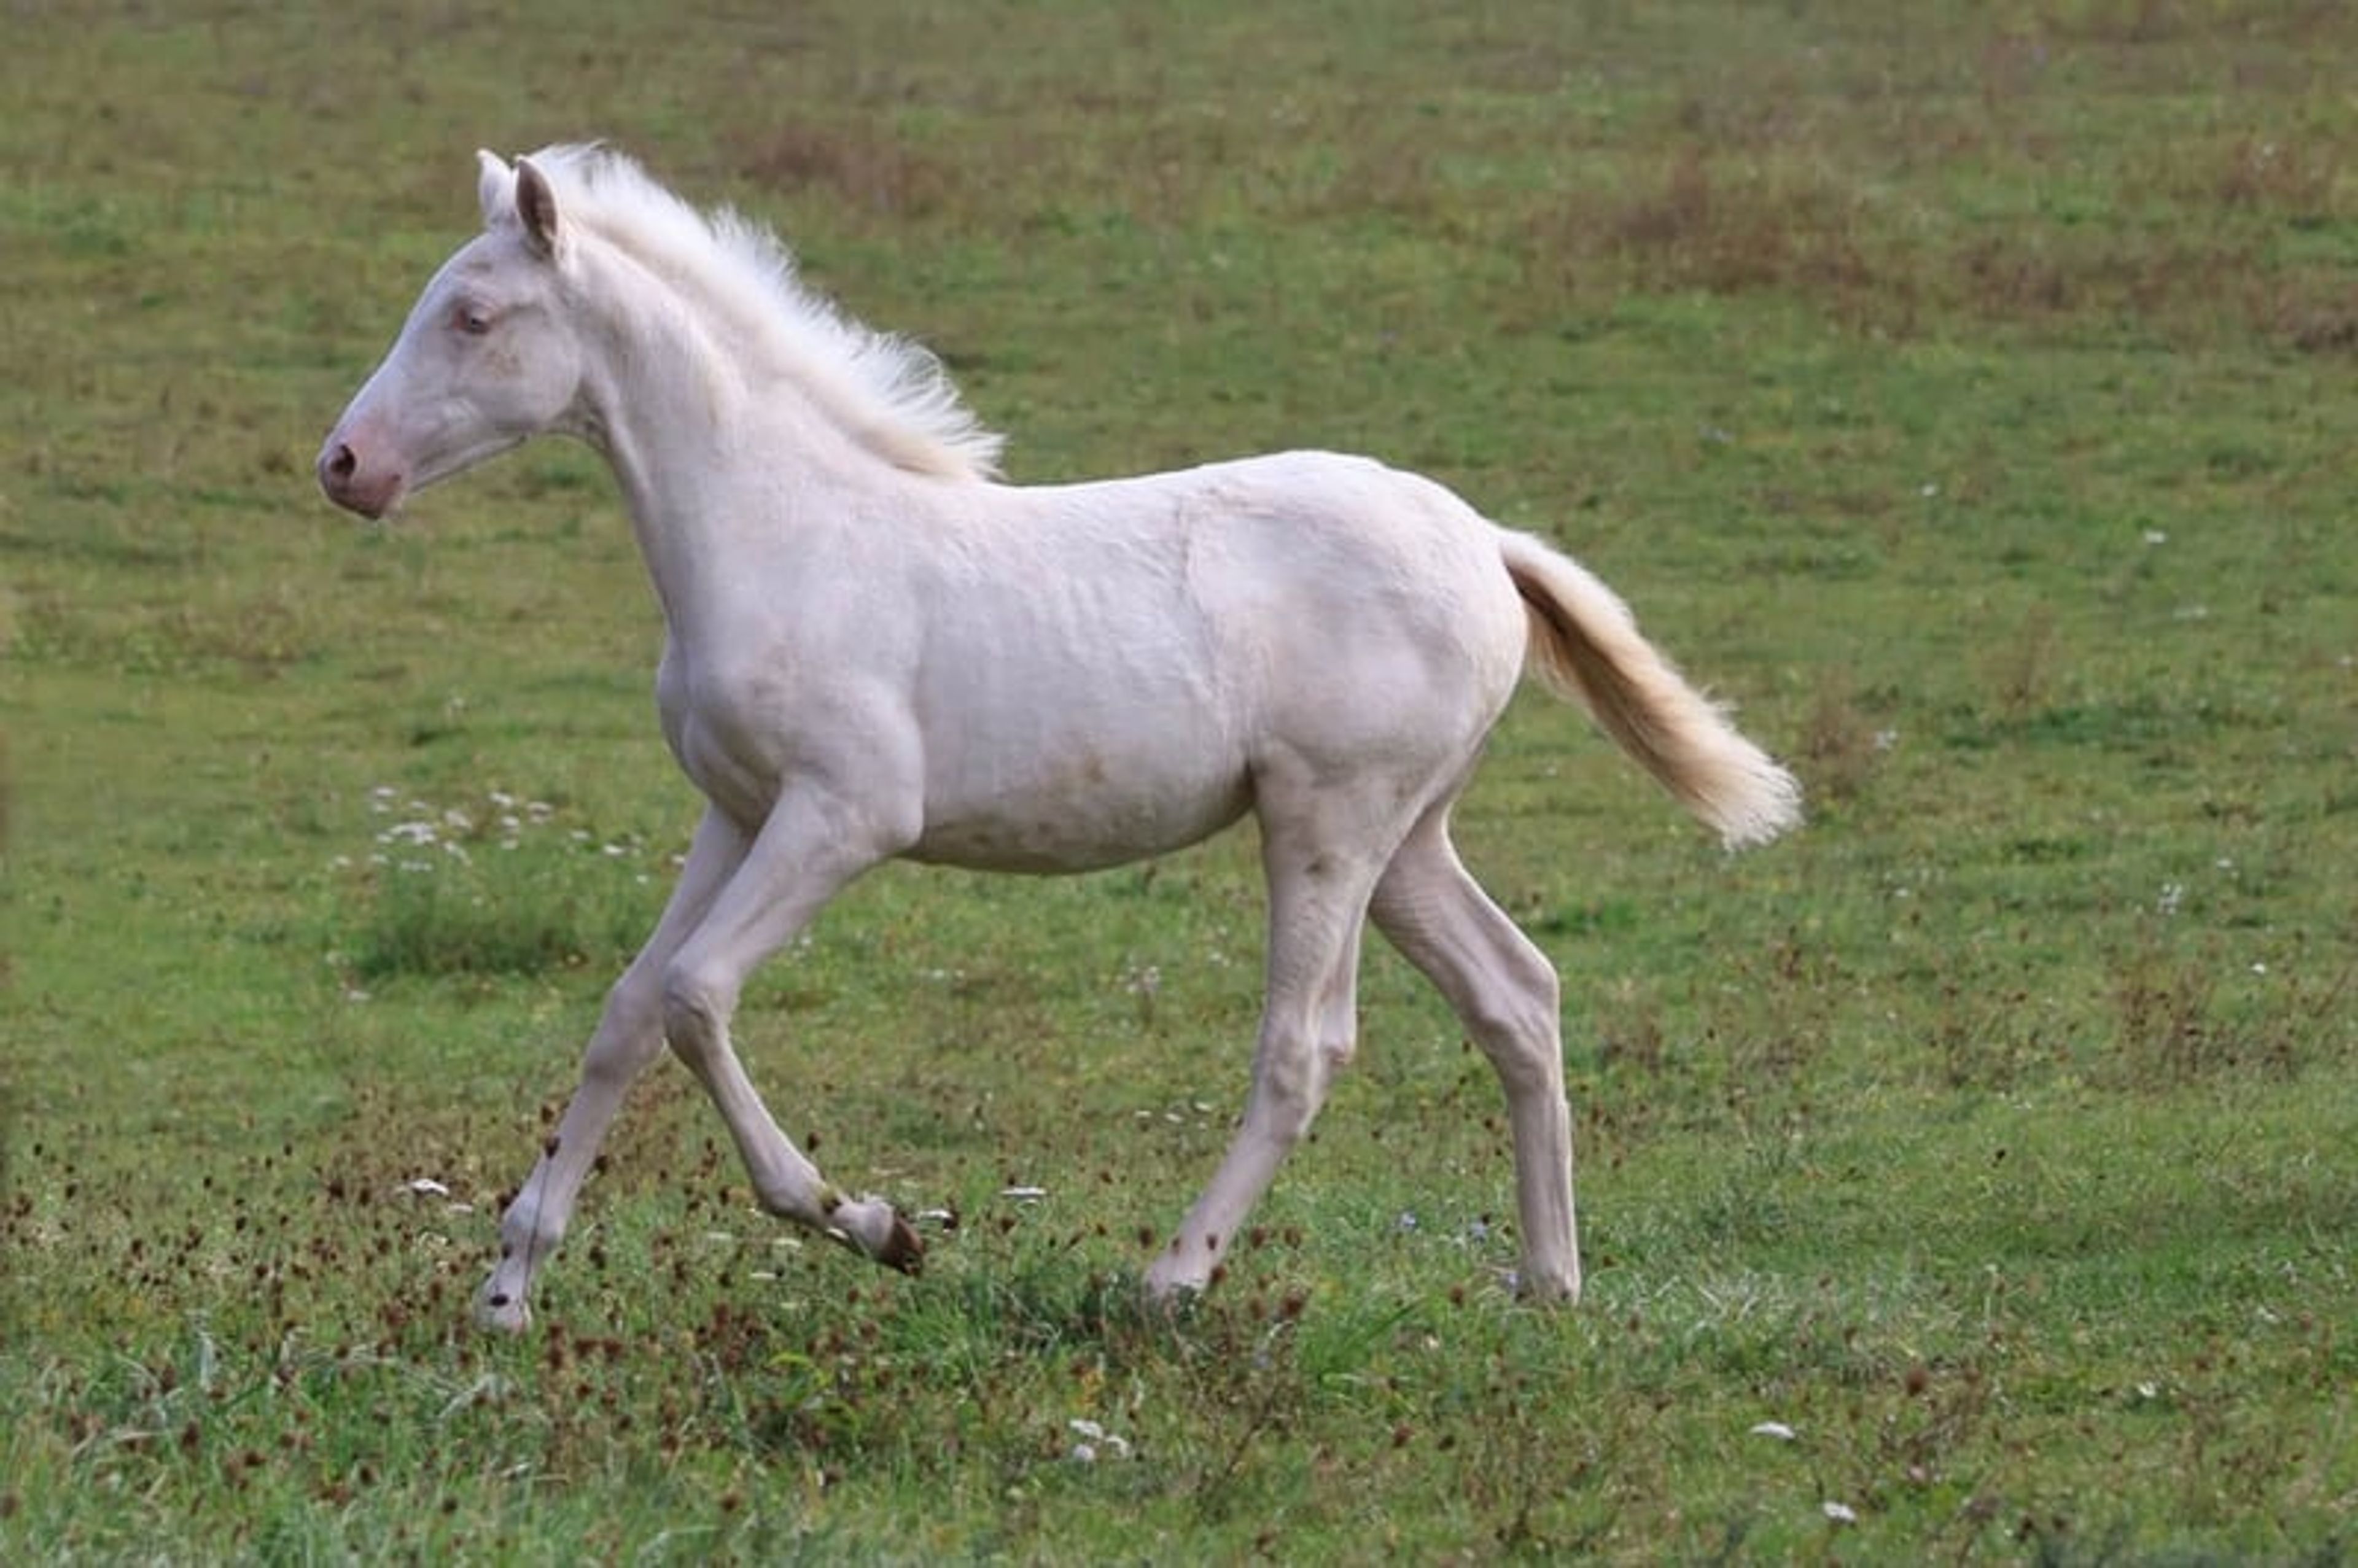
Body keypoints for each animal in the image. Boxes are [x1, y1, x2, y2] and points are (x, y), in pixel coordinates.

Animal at [318, 145, 1799, 1332]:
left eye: (474, 315)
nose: (345, 465)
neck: (782, 532)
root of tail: (1486, 542)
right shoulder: (733, 809)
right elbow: (627, 1013)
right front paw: (509, 1288)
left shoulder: (845, 816)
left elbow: (695, 996)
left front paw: (873, 1224)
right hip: (1409, 838)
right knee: (1519, 995)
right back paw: (1548, 1282)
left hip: (1329, 822)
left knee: (1304, 1046)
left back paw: (1171, 1280)